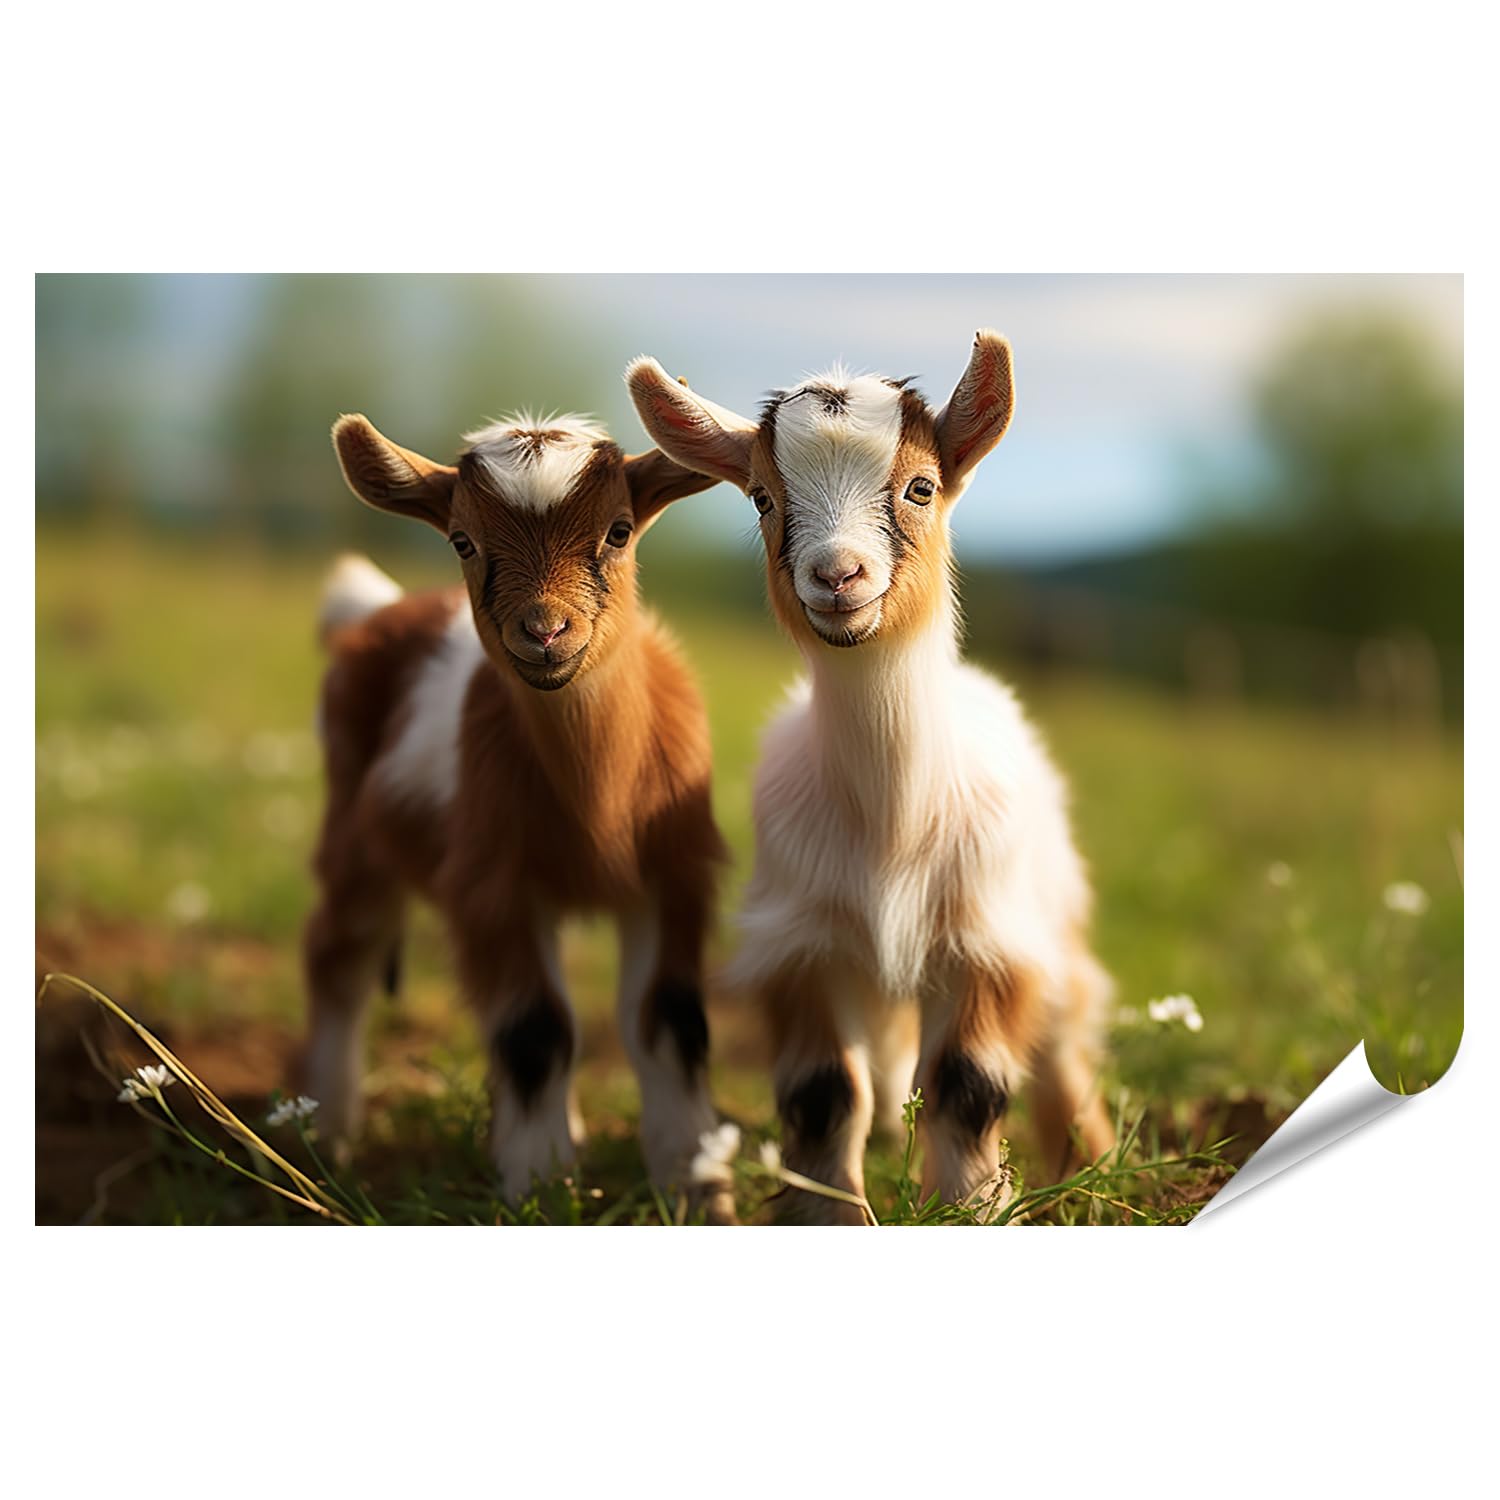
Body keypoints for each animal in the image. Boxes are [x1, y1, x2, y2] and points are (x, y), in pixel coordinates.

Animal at [307, 412, 733, 1218]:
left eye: (620, 529)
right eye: (462, 541)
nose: (544, 631)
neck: (600, 798)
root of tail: (380, 608)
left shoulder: (674, 874)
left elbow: (671, 1021)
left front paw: (698, 1190)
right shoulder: (493, 884)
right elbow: (536, 1031)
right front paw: (540, 1190)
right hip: (354, 831)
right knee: (339, 955)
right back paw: (325, 1132)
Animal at [628, 334, 1116, 1222]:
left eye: (921, 486)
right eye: (762, 497)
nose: (838, 575)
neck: (896, 821)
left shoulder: (985, 938)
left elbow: (967, 1085)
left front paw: (972, 1208)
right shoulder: (805, 944)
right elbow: (825, 1094)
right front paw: (830, 1214)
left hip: (1051, 911)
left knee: (1064, 1036)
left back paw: (1091, 1162)